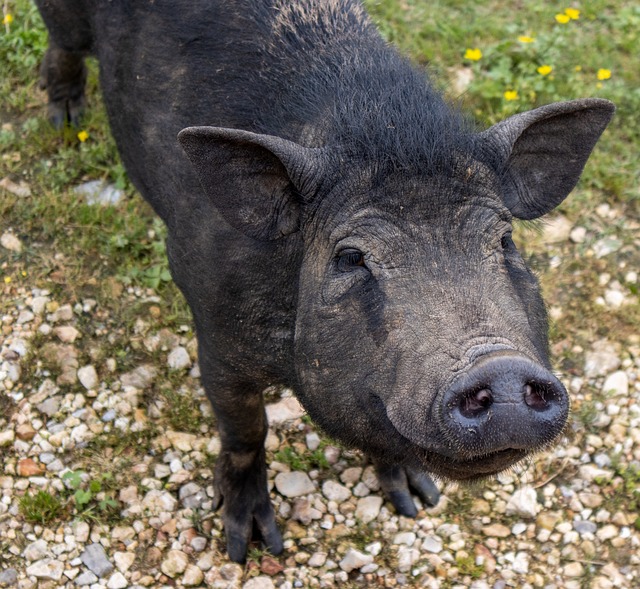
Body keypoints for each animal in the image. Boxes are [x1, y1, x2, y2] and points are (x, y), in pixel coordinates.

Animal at [36, 0, 616, 560]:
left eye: (504, 240)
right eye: (352, 256)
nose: (500, 367)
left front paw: (418, 499)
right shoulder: (215, 332)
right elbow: (245, 429)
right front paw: (251, 546)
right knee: (65, 46)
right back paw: (62, 122)